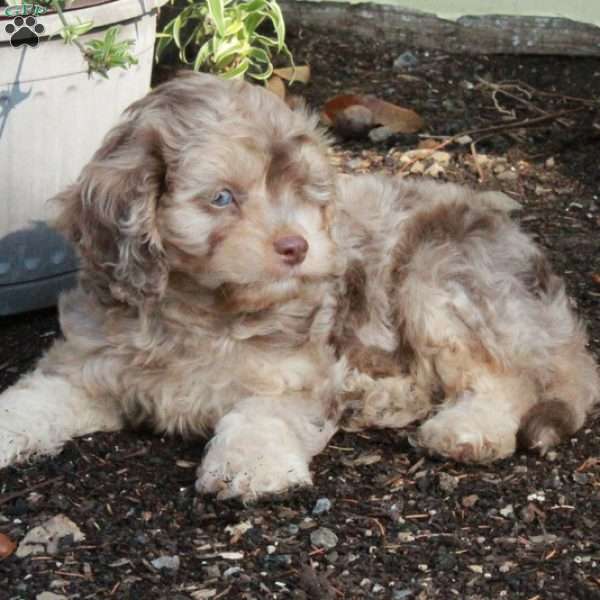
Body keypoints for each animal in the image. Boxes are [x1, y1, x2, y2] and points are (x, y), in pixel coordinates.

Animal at [0, 72, 596, 500]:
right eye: (223, 197)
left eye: (304, 193)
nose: (298, 246)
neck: (199, 311)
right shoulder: (90, 360)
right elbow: (40, 394)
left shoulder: (294, 373)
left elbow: (264, 412)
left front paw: (250, 464)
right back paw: (378, 396)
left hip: (441, 277)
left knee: (504, 378)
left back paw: (467, 429)